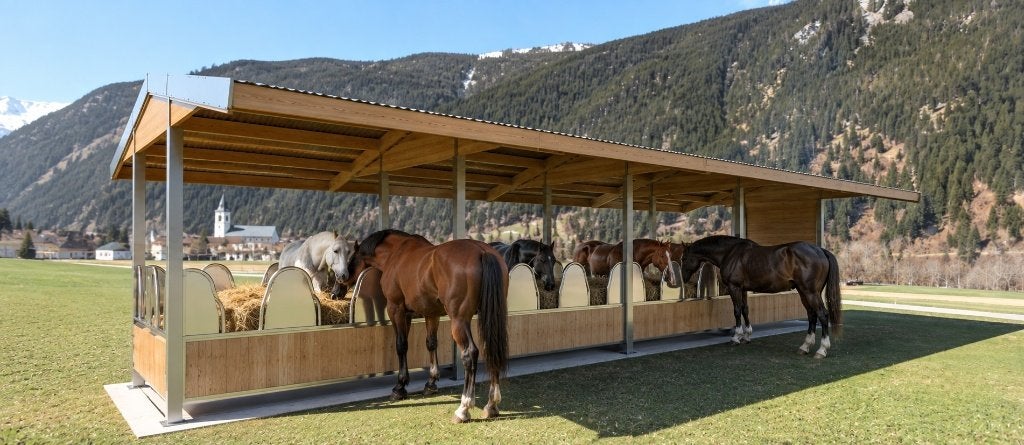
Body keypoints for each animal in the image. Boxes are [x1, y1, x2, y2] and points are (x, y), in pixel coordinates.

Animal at [349, 229, 509, 423]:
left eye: (352, 258)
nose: (339, 283)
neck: (396, 254)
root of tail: (482, 251)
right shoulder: (430, 313)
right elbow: (431, 343)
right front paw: (431, 383)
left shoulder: (397, 309)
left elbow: (401, 345)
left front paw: (400, 387)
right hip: (492, 315)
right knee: (492, 349)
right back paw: (491, 405)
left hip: (459, 320)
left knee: (470, 354)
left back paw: (463, 408)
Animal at [678, 235, 842, 358]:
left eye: (684, 258)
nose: (684, 278)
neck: (730, 253)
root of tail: (820, 250)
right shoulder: (743, 289)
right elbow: (745, 309)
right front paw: (747, 336)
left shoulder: (734, 287)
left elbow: (736, 311)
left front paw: (736, 337)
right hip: (803, 292)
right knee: (811, 315)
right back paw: (805, 346)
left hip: (810, 292)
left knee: (822, 314)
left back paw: (822, 350)